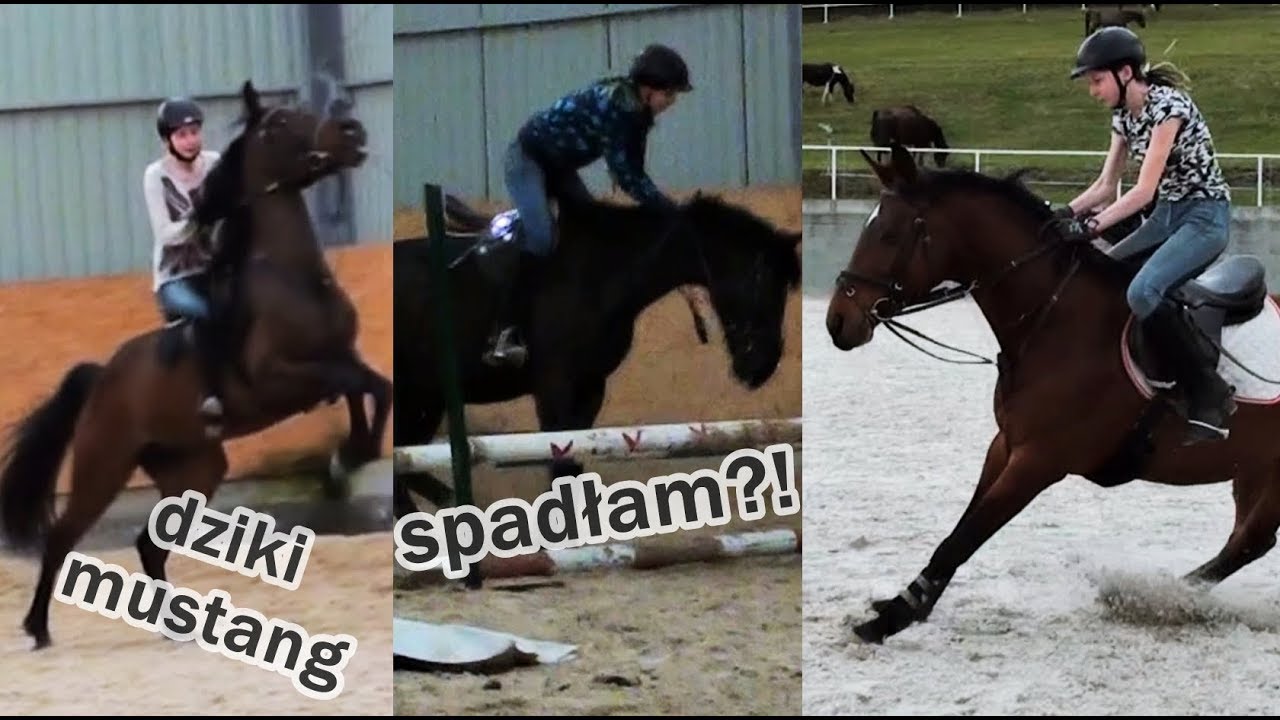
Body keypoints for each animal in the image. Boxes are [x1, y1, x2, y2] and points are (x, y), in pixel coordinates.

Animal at [0, 80, 392, 650]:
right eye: (278, 122)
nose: (352, 131)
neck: (294, 277)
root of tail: (102, 378)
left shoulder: (340, 358)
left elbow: (373, 386)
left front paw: (353, 454)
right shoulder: (279, 378)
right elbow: (355, 383)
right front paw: (349, 456)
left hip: (194, 470)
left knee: (149, 544)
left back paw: (172, 628)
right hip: (104, 466)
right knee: (62, 536)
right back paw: (39, 628)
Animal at [392, 189, 802, 517]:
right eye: (759, 278)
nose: (762, 366)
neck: (603, 272)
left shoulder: (590, 387)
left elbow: (571, 464)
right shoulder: (555, 385)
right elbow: (559, 460)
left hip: (425, 399)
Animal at [824, 141, 1280, 645]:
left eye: (888, 235)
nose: (837, 321)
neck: (1054, 318)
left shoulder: (1040, 460)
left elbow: (964, 538)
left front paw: (889, 620)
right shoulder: (1006, 445)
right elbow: (962, 527)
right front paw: (910, 604)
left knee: (1250, 541)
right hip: (1255, 469)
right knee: (1249, 541)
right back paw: (1170, 594)